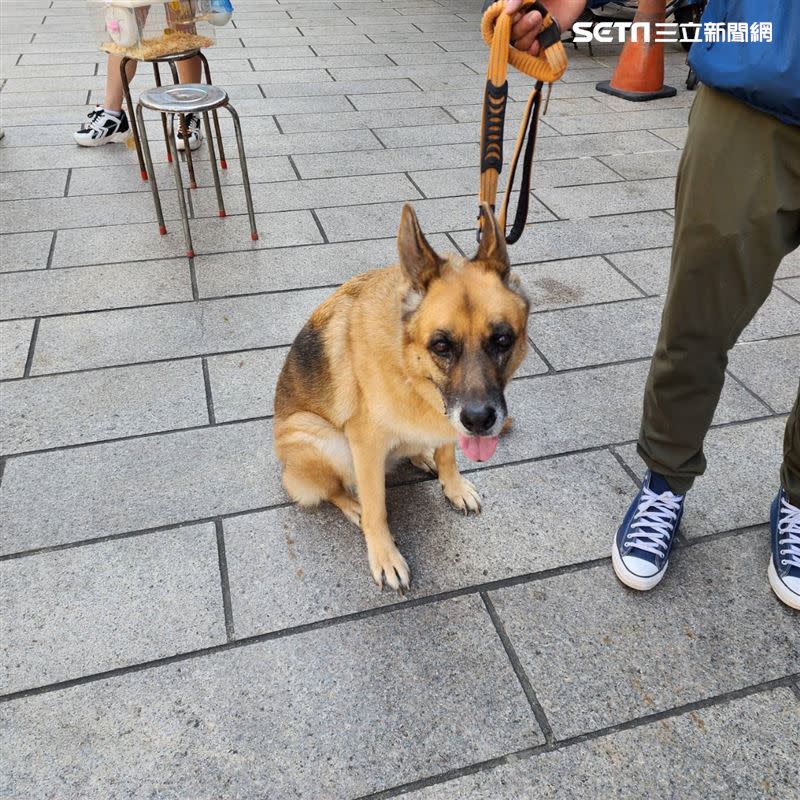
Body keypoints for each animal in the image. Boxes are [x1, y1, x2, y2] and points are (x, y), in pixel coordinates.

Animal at [276, 203, 532, 592]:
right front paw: (384, 554)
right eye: (441, 345)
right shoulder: (365, 445)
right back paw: (353, 504)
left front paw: (453, 485)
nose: (479, 421)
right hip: (315, 434)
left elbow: (448, 454)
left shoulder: (447, 424)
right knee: (332, 488)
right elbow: (377, 507)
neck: (409, 371)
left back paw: (420, 456)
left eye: (502, 340)